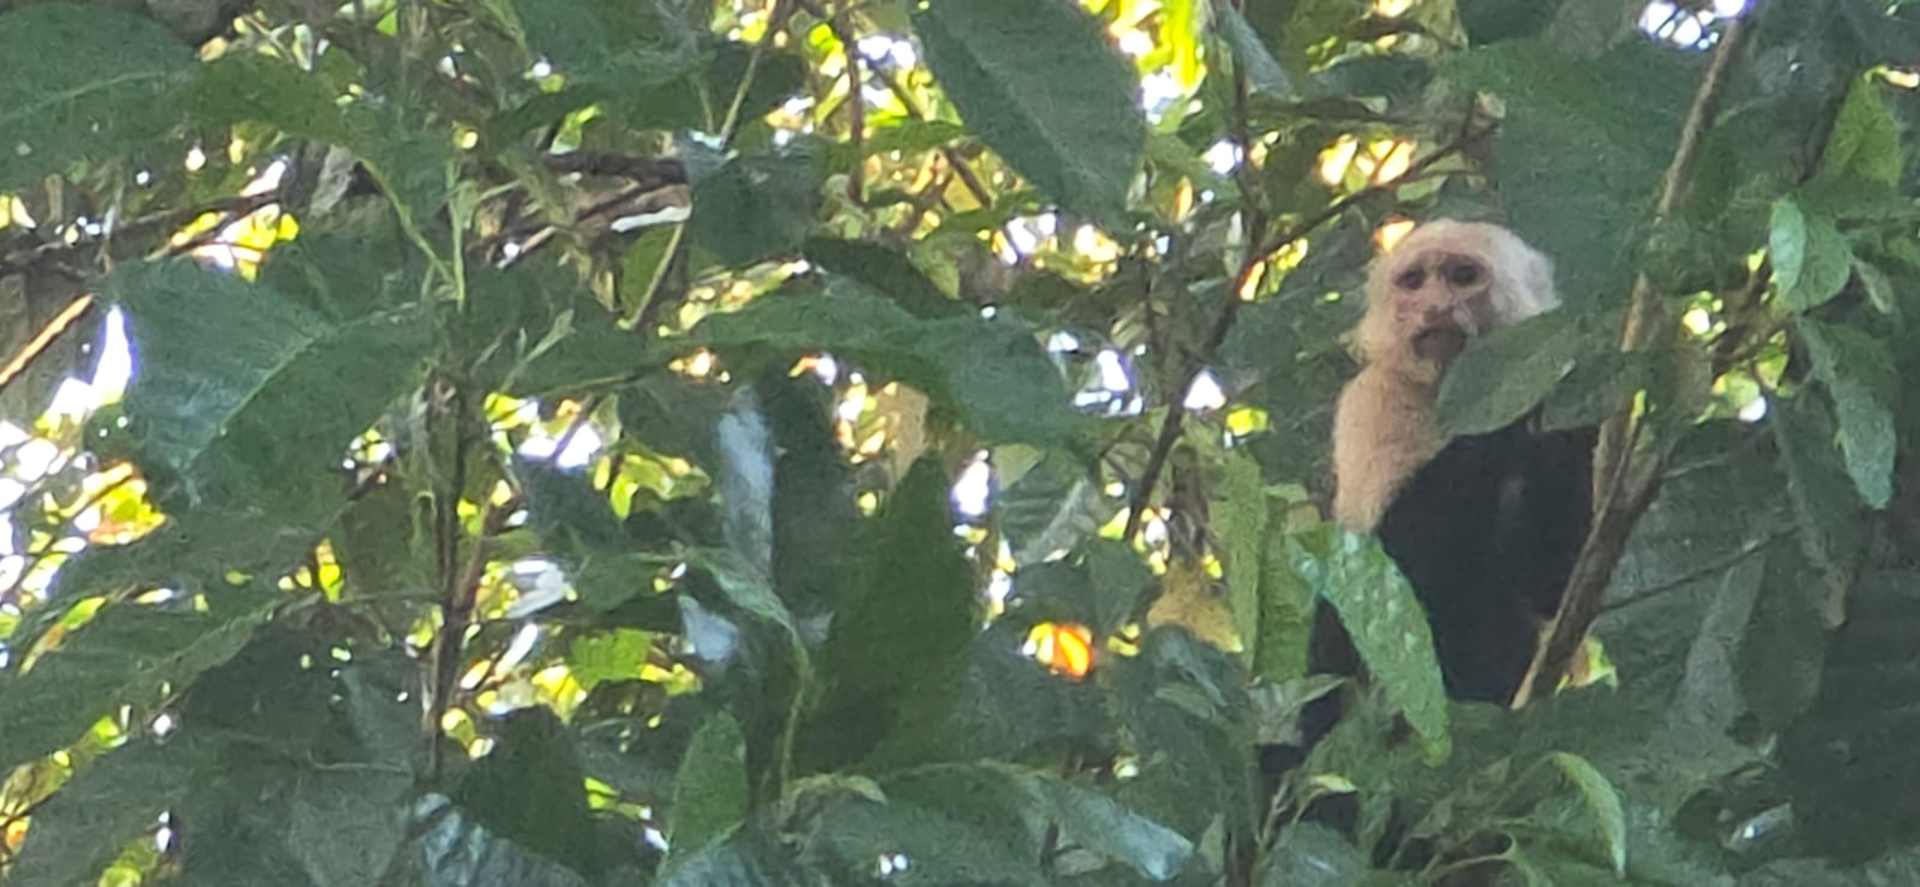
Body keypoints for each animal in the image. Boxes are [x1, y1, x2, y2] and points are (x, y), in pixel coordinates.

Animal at [1323, 219, 1597, 705]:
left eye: (1463, 276)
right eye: (1413, 281)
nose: (1434, 306)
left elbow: (1555, 588)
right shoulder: (1372, 399)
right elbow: (1391, 563)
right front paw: (1521, 419)